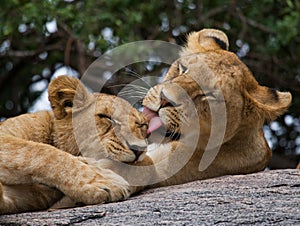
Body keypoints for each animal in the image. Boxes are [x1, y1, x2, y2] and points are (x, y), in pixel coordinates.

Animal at [0, 75, 151, 214]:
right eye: (106, 117)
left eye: (142, 125)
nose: (139, 149)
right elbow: (44, 152)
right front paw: (104, 181)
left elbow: (148, 166)